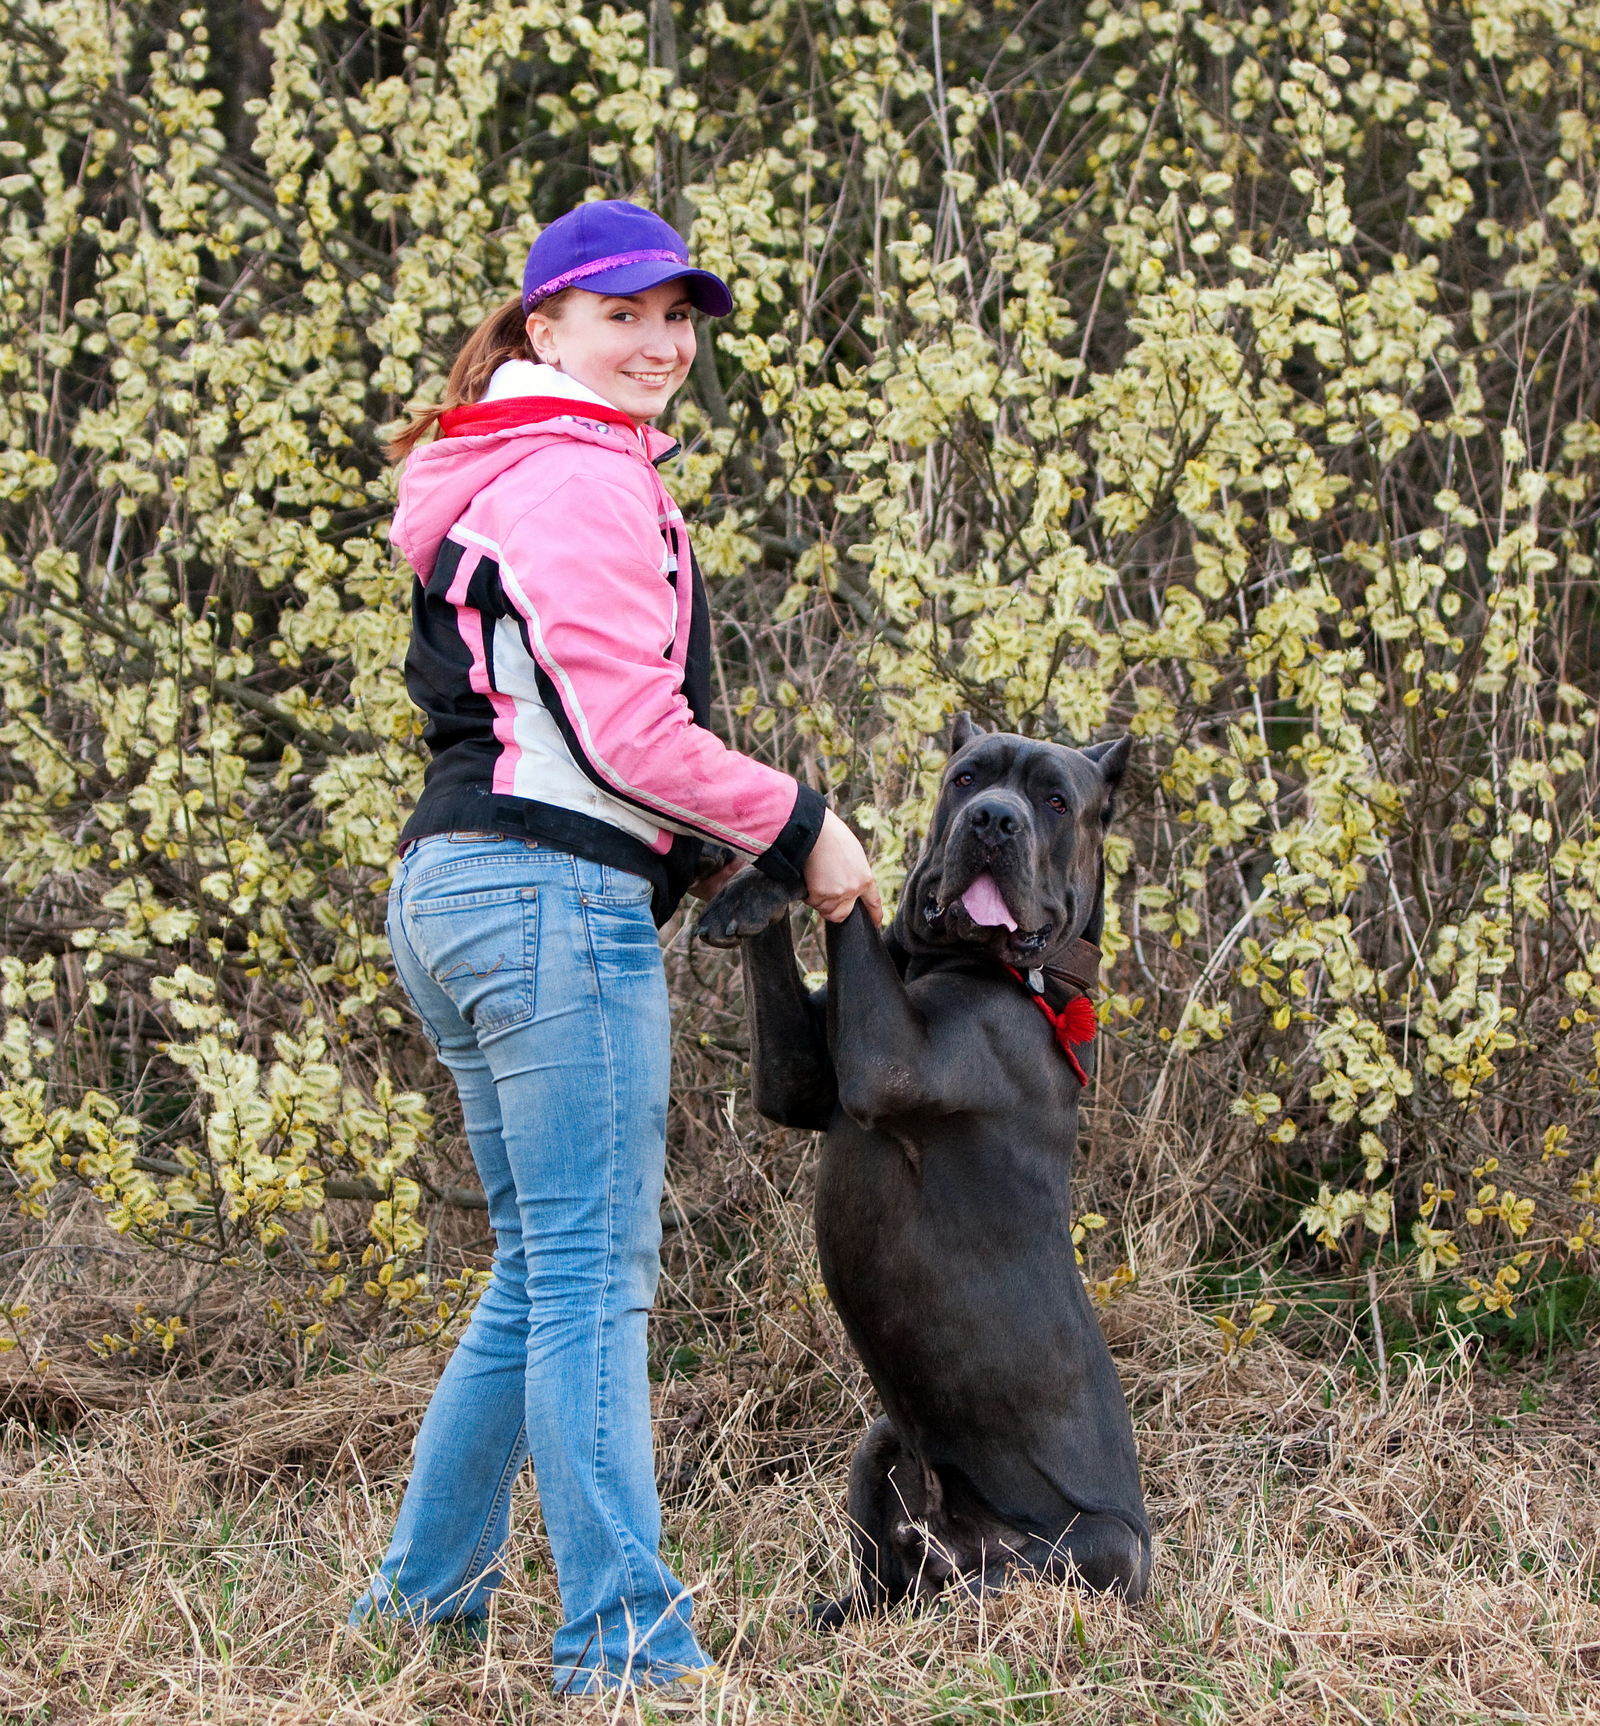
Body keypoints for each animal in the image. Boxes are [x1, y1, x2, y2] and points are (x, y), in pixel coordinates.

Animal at [697, 711, 1152, 1615]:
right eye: (967, 779)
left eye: (1056, 800)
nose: (995, 821)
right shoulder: (796, 1080)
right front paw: (745, 884)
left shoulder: (889, 1063)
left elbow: (848, 893)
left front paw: (783, 869)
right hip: (880, 1443)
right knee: (886, 1577)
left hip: (1109, 1548)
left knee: (1013, 1576)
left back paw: (972, 1584)